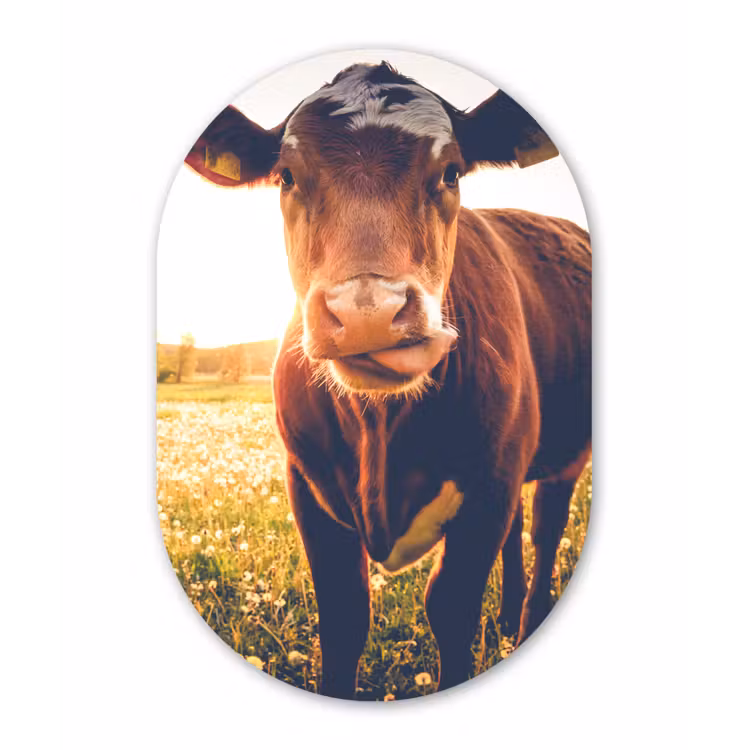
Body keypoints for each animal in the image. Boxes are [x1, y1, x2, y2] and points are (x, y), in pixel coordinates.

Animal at [184, 61, 591, 699]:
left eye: (451, 171)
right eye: (287, 176)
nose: (368, 313)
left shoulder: (490, 484)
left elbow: (450, 607)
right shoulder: (306, 484)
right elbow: (345, 616)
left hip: (562, 457)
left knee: (545, 534)